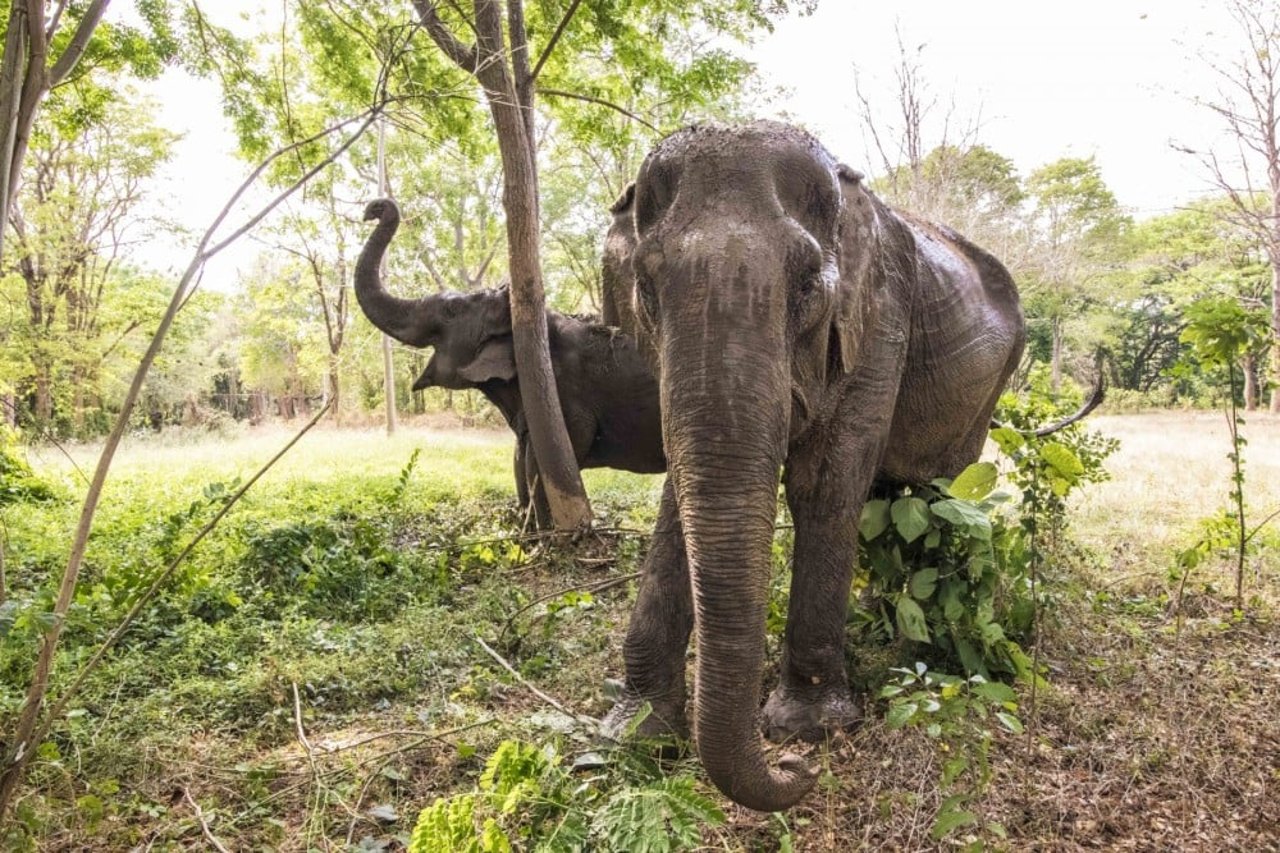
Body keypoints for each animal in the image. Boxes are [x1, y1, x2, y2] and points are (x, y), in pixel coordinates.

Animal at [599, 121, 1029, 809]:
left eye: (807, 287)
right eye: (645, 286)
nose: (795, 770)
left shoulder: (880, 317)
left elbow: (822, 485)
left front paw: (811, 729)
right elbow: (680, 493)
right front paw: (635, 732)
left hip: (988, 393)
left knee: (939, 492)